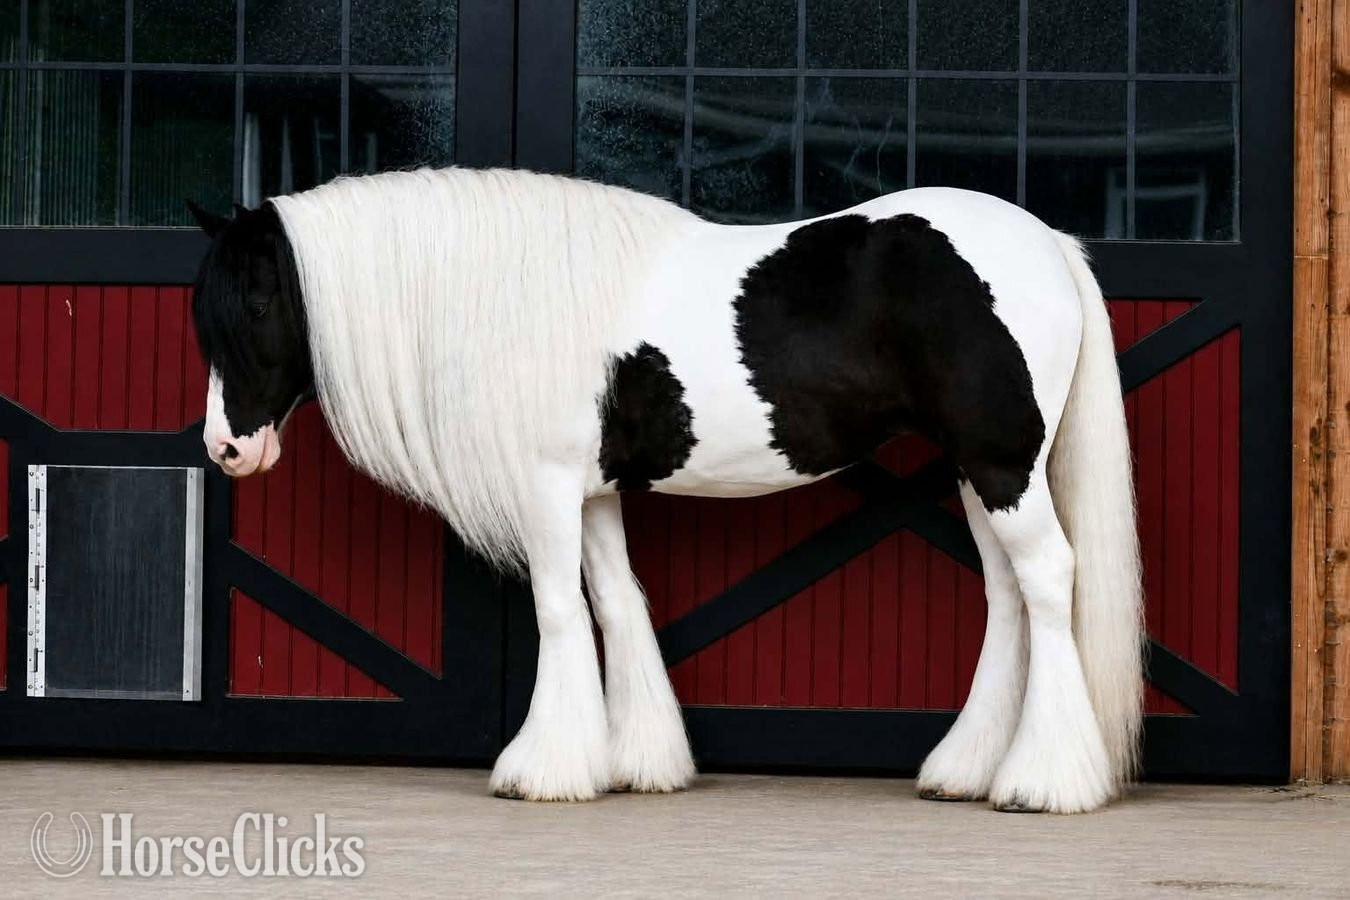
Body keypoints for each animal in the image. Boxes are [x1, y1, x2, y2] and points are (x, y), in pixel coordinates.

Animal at [187, 166, 1143, 814]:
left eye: (259, 306)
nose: (226, 450)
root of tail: (1049, 246)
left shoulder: (545, 488)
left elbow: (560, 612)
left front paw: (543, 769)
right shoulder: (593, 494)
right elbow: (617, 602)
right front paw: (639, 761)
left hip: (1001, 466)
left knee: (1048, 581)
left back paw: (1045, 783)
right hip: (977, 475)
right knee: (1010, 597)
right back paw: (969, 770)